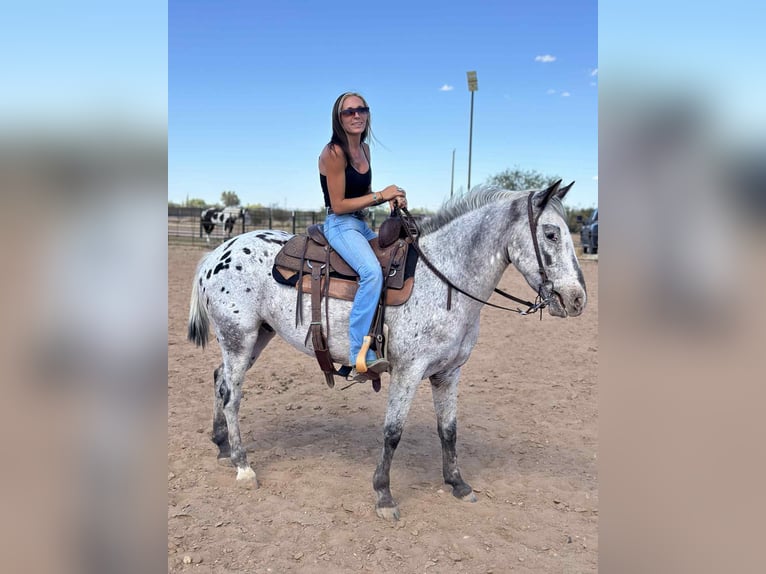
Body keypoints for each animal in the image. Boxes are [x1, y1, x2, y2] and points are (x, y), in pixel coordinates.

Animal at [187, 180, 587, 520]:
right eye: (551, 233)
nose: (577, 299)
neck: (444, 280)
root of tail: (217, 253)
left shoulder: (449, 373)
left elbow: (449, 430)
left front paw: (457, 483)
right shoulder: (408, 371)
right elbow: (393, 432)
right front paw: (383, 495)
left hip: (257, 337)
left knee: (220, 381)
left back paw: (222, 447)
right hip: (239, 338)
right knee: (232, 396)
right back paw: (243, 466)